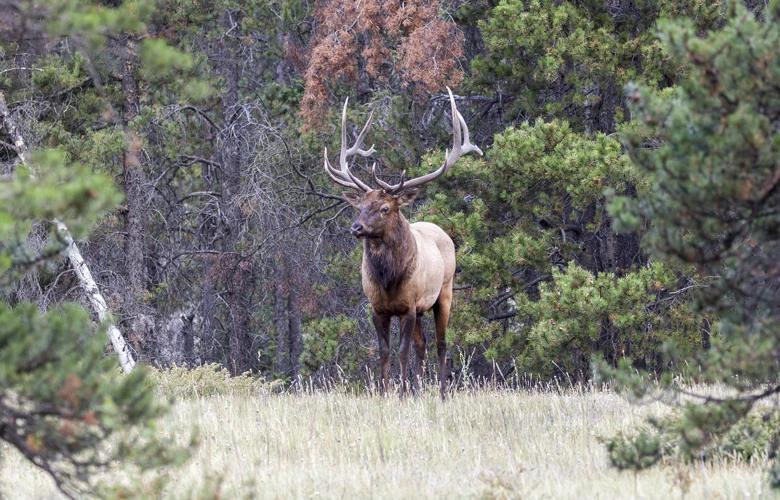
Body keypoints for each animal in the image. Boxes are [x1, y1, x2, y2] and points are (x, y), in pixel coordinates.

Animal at [322, 88, 482, 396]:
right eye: (360, 206)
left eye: (385, 208)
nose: (356, 227)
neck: (389, 280)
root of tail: (442, 231)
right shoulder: (377, 308)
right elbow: (384, 352)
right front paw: (387, 393)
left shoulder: (408, 306)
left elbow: (402, 351)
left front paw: (403, 393)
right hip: (421, 309)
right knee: (423, 345)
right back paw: (420, 390)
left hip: (444, 292)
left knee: (441, 344)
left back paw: (442, 394)